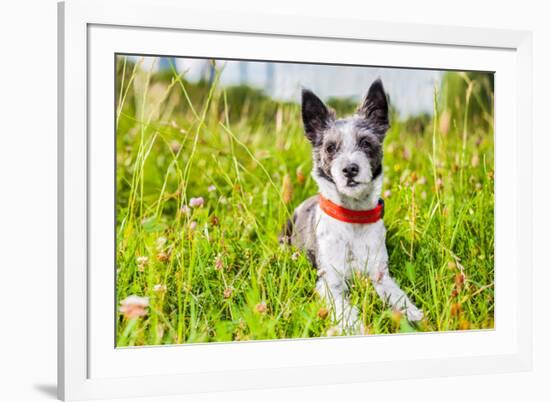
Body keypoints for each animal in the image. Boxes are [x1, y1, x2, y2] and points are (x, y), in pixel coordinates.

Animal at [282, 78, 424, 332]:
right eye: (330, 148)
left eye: (366, 143)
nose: (349, 169)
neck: (352, 216)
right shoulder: (329, 282)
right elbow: (343, 308)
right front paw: (354, 326)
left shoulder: (380, 274)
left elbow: (397, 295)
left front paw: (412, 314)